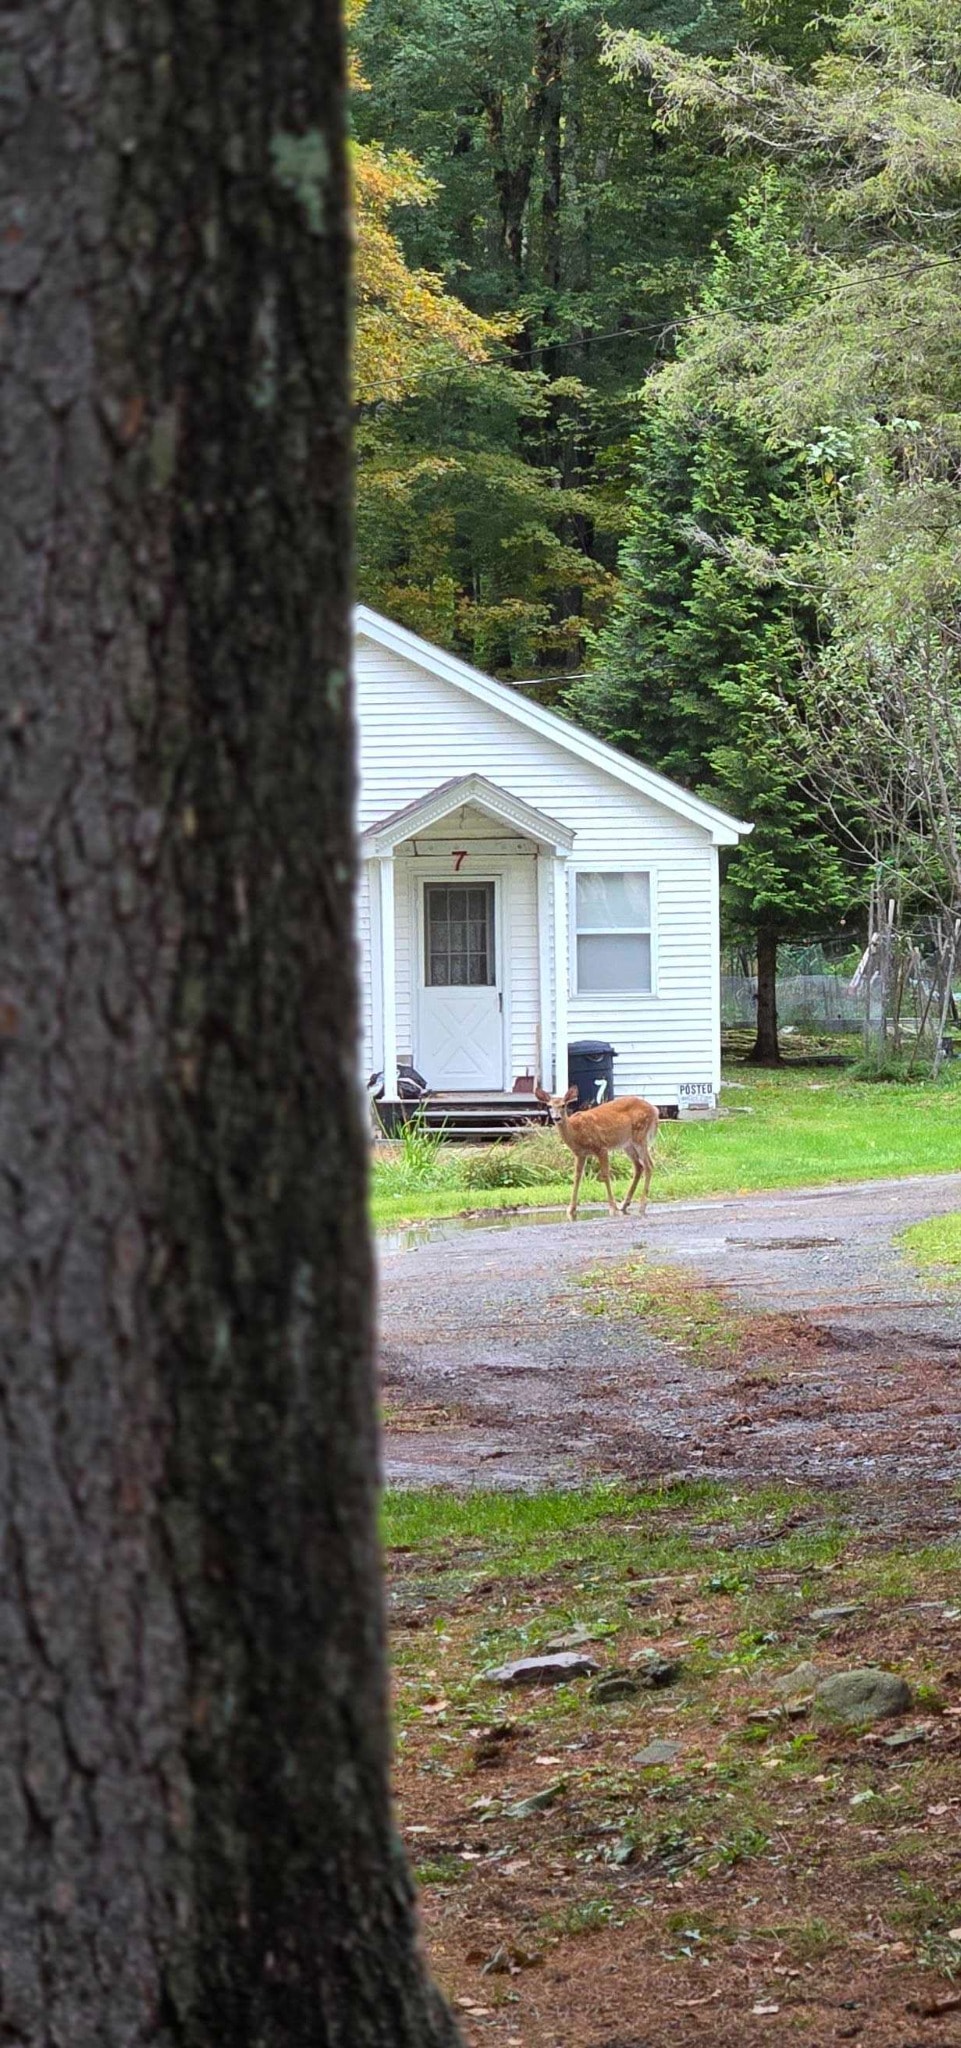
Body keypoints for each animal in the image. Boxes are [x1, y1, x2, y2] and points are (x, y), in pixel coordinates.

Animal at [535, 1085, 659, 1222]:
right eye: (549, 1106)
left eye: (563, 1105)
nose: (557, 1118)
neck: (576, 1132)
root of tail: (655, 1110)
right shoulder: (580, 1154)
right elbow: (577, 1176)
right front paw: (571, 1209)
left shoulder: (601, 1147)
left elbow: (605, 1175)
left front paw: (612, 1208)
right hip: (627, 1144)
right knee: (639, 1166)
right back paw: (624, 1204)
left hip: (640, 1135)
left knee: (649, 1165)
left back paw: (641, 1206)